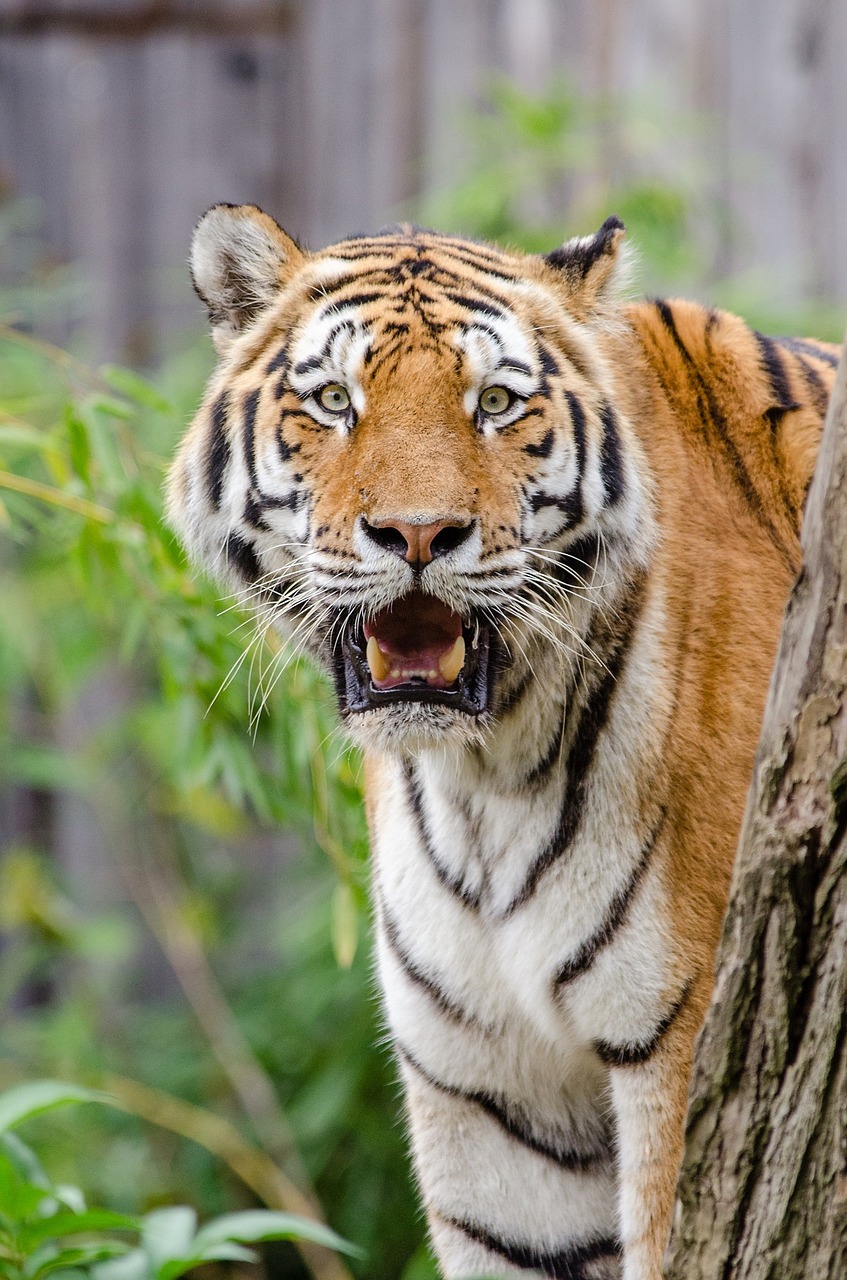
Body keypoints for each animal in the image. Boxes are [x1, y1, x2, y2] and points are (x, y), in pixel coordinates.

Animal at [166, 202, 834, 1280]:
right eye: (333, 400)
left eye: (494, 402)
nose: (417, 533)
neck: (485, 778)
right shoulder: (489, 1088)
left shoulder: (687, 1043)